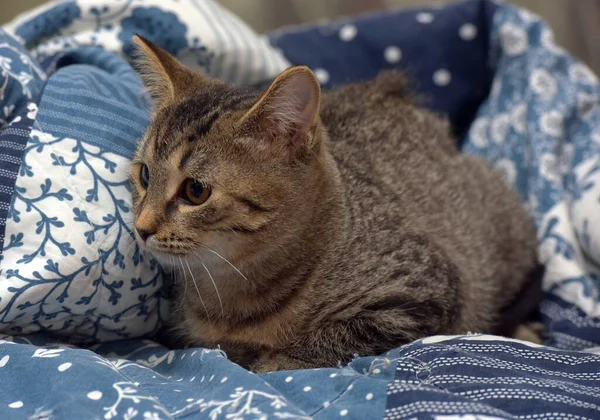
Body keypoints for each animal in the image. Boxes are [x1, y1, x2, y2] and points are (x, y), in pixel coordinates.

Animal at [130, 35, 540, 370]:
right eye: (145, 175)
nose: (141, 227)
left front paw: (275, 359)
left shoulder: (421, 291)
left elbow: (331, 337)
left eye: (195, 191)